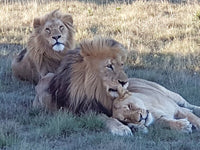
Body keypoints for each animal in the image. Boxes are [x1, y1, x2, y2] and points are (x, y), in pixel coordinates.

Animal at [32, 36, 200, 136]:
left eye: (121, 65)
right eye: (109, 66)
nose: (125, 82)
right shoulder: (84, 111)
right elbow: (107, 119)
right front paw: (123, 128)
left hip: (167, 92)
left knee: (186, 103)